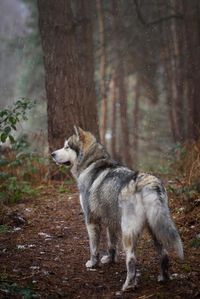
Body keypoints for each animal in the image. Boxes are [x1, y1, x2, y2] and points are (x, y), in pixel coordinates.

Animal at [51, 126, 183, 292]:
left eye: (67, 146)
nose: (52, 154)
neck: (92, 164)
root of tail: (150, 183)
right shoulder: (110, 220)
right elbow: (111, 244)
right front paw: (109, 260)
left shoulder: (91, 220)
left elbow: (93, 248)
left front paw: (93, 264)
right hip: (155, 229)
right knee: (164, 254)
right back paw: (163, 278)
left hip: (128, 233)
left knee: (132, 260)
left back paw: (128, 286)